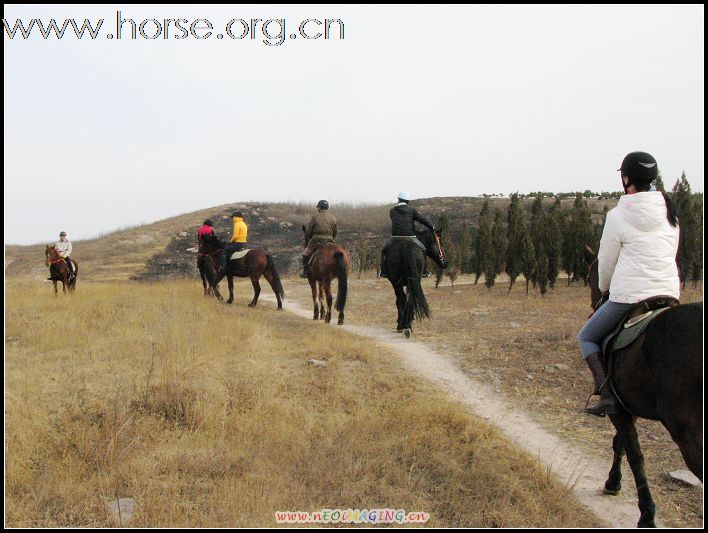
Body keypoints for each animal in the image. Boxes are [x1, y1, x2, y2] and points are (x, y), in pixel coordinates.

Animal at [584, 246, 700, 528]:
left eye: (591, 275)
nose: (594, 307)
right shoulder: (627, 404)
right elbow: (621, 444)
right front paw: (613, 482)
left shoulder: (617, 407)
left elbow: (635, 454)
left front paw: (646, 514)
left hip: (688, 433)